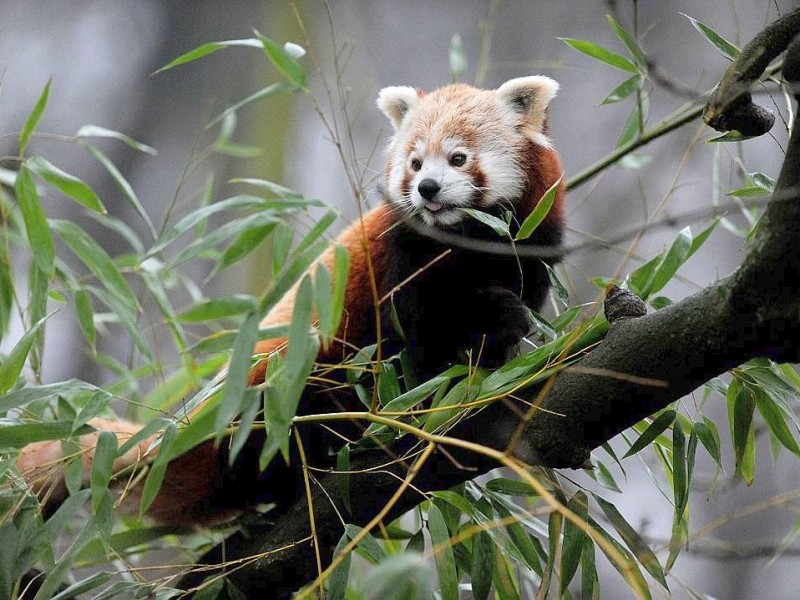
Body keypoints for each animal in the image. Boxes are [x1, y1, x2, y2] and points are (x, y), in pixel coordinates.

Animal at [15, 75, 564, 524]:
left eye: (457, 158)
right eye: (414, 163)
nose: (427, 188)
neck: (471, 240)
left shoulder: (531, 244)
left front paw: (502, 343)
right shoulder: (401, 259)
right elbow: (419, 330)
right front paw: (488, 325)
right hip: (276, 383)